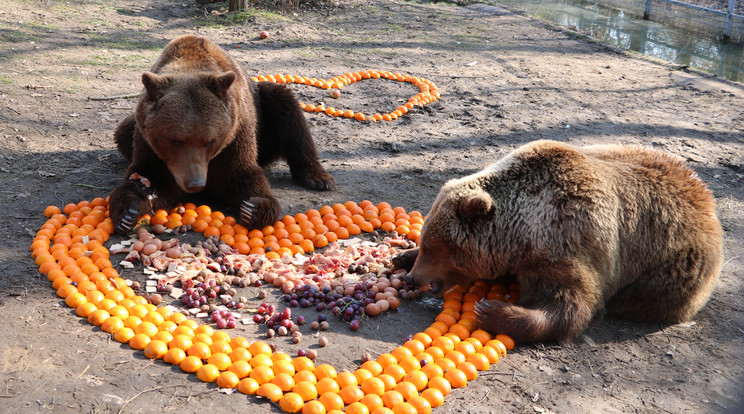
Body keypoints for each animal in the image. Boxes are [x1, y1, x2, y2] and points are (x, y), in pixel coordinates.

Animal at [108, 34, 334, 233]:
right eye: (175, 140)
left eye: (209, 141)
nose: (196, 183)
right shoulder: (150, 144)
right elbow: (148, 176)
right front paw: (128, 211)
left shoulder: (236, 135)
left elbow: (240, 175)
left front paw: (254, 207)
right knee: (122, 132)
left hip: (265, 120)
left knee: (286, 108)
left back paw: (318, 178)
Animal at [398, 141, 724, 344]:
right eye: (426, 243)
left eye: (435, 249)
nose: (414, 278)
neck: (522, 235)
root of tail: (708, 200)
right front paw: (402, 255)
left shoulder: (572, 238)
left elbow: (573, 303)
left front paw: (492, 311)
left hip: (674, 269)